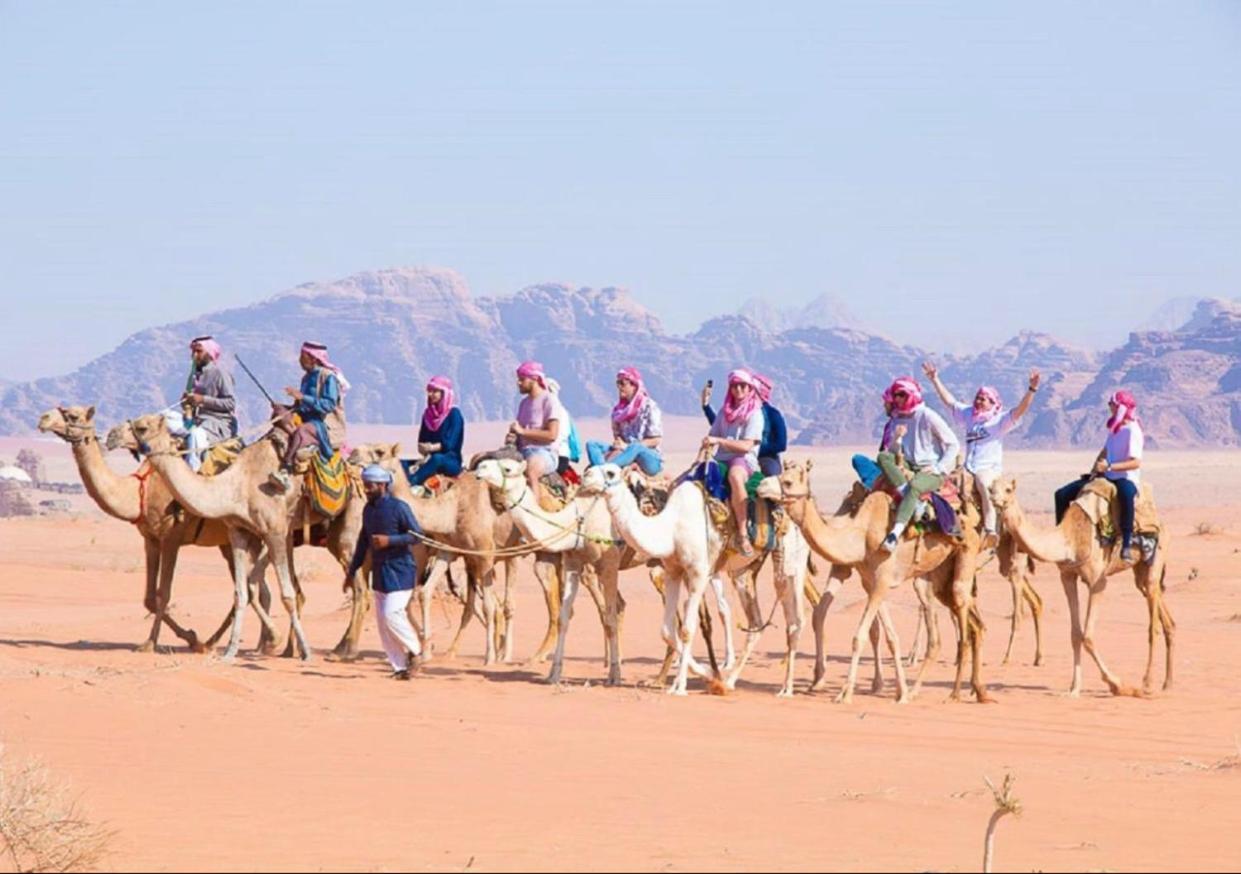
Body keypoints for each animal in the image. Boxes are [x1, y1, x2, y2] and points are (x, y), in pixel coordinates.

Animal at [38, 407, 269, 650]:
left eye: (73, 415)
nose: (44, 418)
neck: (140, 491)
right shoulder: (150, 539)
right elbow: (149, 598)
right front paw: (191, 637)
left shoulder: (171, 538)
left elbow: (163, 593)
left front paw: (151, 643)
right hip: (230, 542)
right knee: (253, 588)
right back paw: (231, 643)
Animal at [754, 461, 987, 705]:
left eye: (788, 482)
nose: (760, 486)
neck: (861, 534)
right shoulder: (871, 582)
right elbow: (891, 637)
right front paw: (901, 692)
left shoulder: (882, 580)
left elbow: (860, 636)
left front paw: (845, 694)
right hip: (936, 575)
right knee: (953, 631)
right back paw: (964, 690)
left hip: (967, 549)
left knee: (962, 616)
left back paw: (955, 692)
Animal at [987, 476, 1171, 695]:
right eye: (990, 489)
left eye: (1008, 489)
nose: (995, 501)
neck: (1068, 541)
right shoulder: (1067, 577)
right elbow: (1075, 634)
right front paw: (1074, 688)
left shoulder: (1098, 582)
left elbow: (1088, 637)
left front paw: (1117, 684)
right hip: (1140, 572)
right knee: (1164, 615)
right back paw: (1167, 682)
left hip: (1155, 558)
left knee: (1153, 624)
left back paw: (1147, 683)